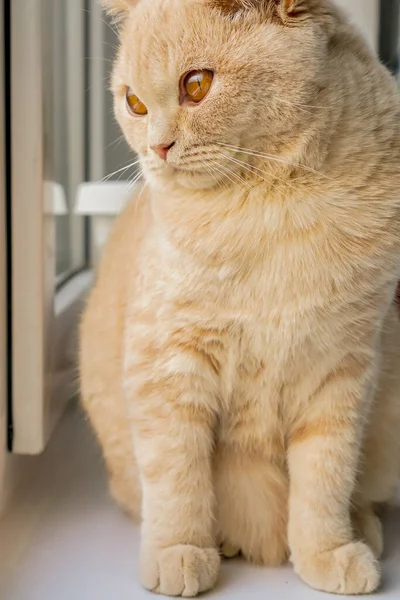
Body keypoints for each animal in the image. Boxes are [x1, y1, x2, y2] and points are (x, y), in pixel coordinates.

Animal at [79, 0, 400, 596]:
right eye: (134, 102)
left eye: (196, 85)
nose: (158, 148)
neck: (272, 205)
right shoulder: (168, 366)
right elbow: (176, 477)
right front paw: (180, 551)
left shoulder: (342, 372)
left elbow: (325, 478)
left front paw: (326, 551)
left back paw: (361, 525)